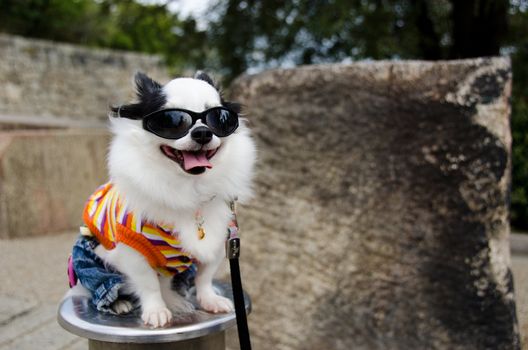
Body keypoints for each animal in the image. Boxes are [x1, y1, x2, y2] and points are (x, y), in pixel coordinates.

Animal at [70, 72, 256, 328]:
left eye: (219, 118)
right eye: (171, 121)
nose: (202, 132)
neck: (191, 188)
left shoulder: (220, 240)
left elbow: (205, 276)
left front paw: (209, 299)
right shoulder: (132, 250)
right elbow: (148, 284)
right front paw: (156, 310)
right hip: (90, 262)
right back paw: (119, 303)